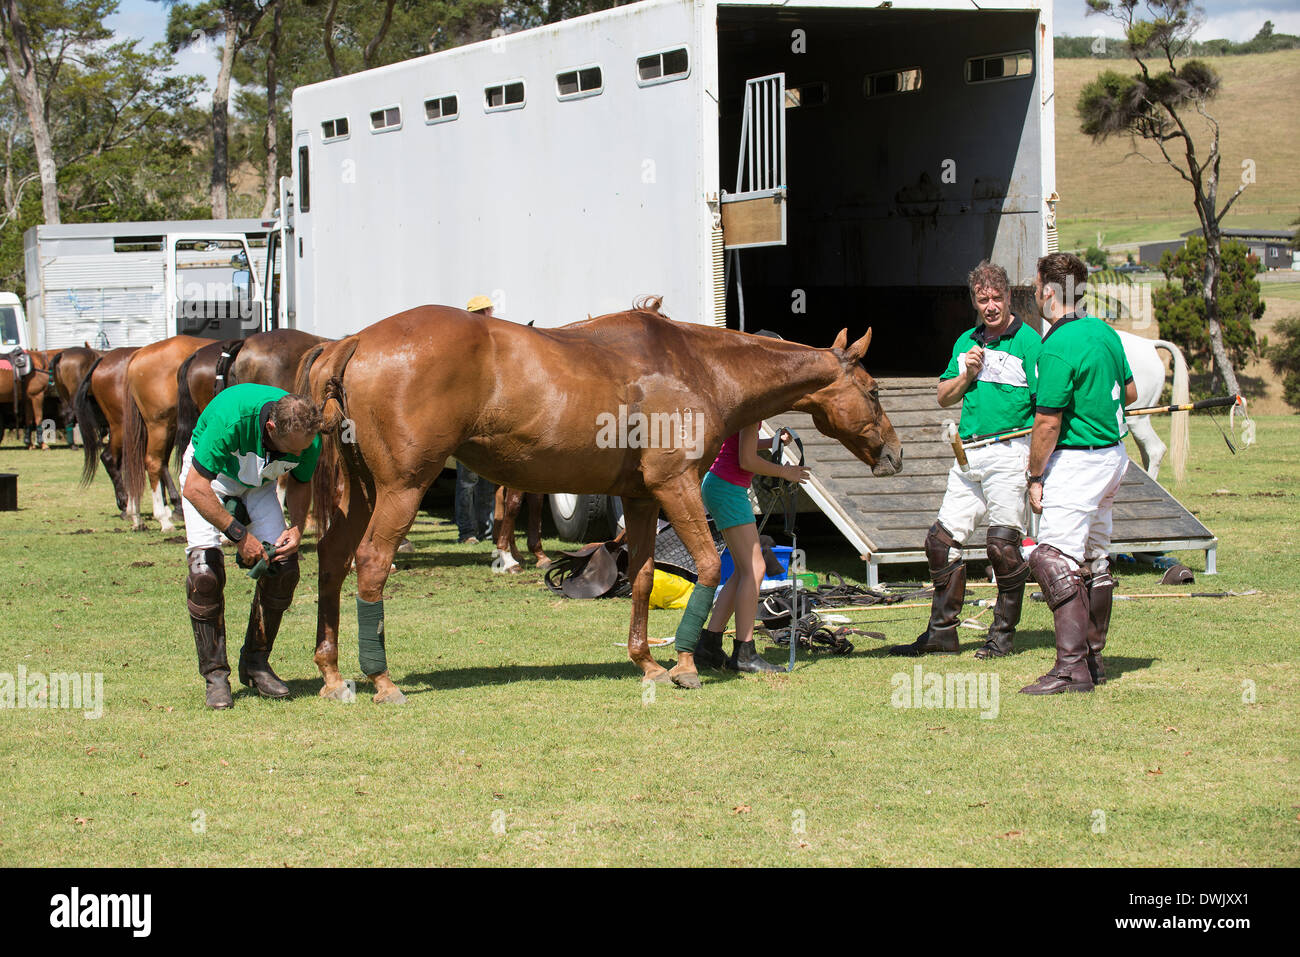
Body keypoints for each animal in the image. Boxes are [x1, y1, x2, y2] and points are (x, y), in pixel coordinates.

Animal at [300, 299, 904, 702]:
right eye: (875, 391)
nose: (895, 455)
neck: (697, 366)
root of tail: (354, 341)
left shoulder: (641, 500)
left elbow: (640, 577)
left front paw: (648, 662)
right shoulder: (676, 486)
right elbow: (710, 567)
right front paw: (686, 664)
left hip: (360, 495)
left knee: (331, 563)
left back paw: (333, 674)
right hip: (401, 489)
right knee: (369, 566)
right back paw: (381, 679)